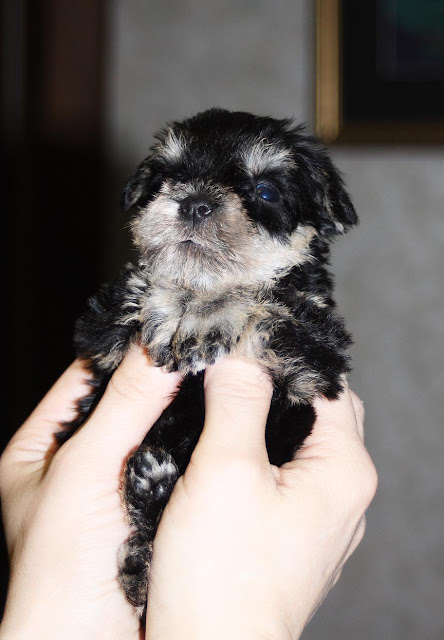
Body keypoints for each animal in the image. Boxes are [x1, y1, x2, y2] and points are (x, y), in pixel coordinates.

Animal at [60, 108, 358, 618]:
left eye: (265, 191)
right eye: (166, 177)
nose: (195, 203)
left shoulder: (316, 353)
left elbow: (266, 300)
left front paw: (204, 316)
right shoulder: (100, 329)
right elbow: (141, 290)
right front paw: (184, 306)